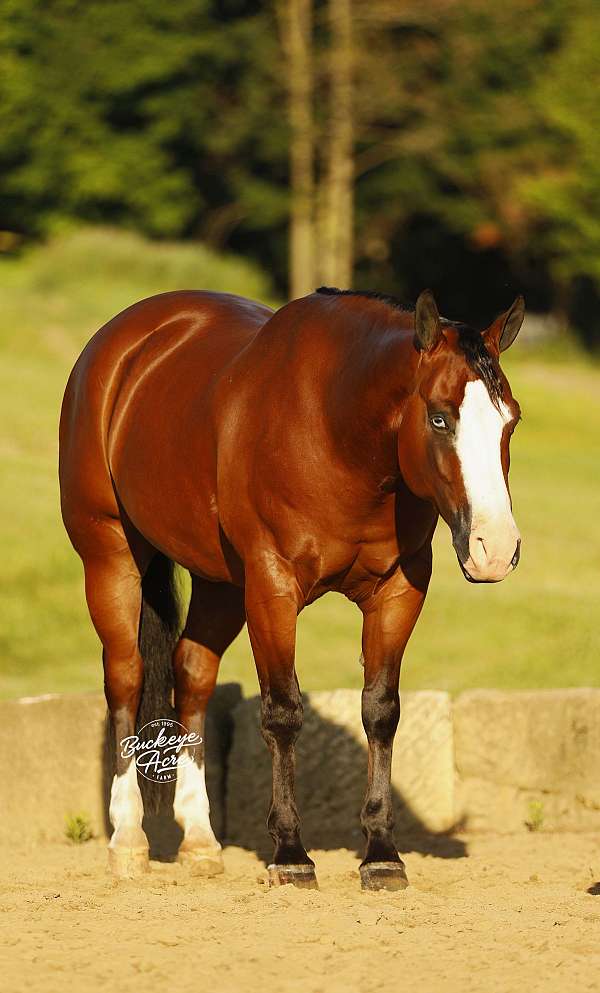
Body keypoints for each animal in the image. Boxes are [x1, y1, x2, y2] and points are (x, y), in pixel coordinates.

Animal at [59, 285, 524, 890]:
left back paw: (201, 840)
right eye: (440, 419)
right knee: (125, 677)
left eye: (510, 421)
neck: (333, 429)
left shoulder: (398, 592)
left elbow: (381, 710)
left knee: (193, 676)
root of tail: (124, 341)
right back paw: (128, 841)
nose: (496, 548)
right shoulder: (273, 588)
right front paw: (290, 853)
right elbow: (282, 712)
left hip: (221, 585)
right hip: (110, 557)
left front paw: (381, 853)